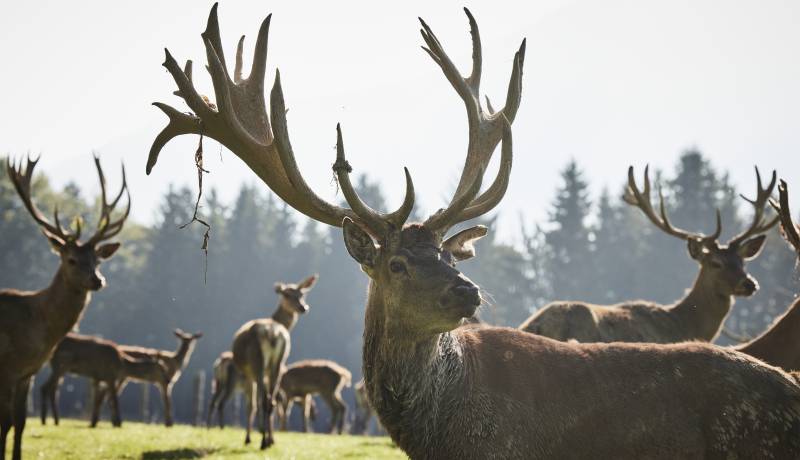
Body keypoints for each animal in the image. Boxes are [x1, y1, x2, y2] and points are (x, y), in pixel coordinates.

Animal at [0, 156, 128, 460]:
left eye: (97, 260)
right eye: (71, 259)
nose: (97, 280)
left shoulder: (28, 372)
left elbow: (20, 422)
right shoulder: (7, 367)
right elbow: (5, 421)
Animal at [39, 332, 168, 426]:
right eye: (161, 368)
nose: (167, 380)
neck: (122, 365)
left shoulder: (98, 377)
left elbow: (98, 400)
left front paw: (94, 422)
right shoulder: (110, 376)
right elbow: (114, 399)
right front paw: (118, 423)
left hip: (58, 367)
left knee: (51, 388)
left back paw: (53, 420)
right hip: (61, 365)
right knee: (46, 387)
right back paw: (47, 420)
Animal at [230, 274, 318, 448]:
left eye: (302, 294)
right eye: (287, 294)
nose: (303, 307)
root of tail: (273, 333)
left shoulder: (249, 373)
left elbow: (252, 405)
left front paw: (249, 438)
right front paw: (268, 437)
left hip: (257, 362)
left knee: (264, 401)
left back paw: (262, 440)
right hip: (278, 364)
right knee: (271, 401)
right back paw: (269, 440)